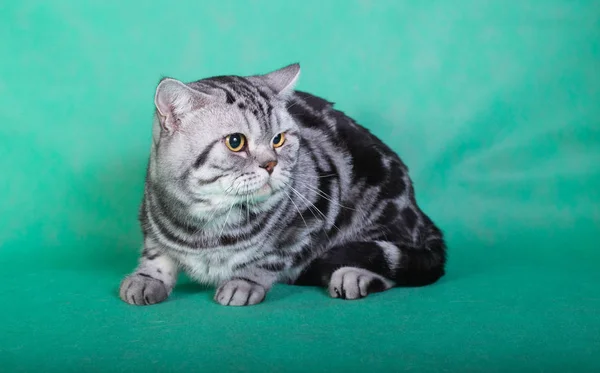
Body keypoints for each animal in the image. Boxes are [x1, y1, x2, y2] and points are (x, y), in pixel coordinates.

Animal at [118, 63, 446, 306]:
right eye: (235, 142)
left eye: (279, 139)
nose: (270, 164)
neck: (209, 223)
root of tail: (418, 211)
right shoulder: (150, 221)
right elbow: (157, 252)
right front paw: (147, 278)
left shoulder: (311, 218)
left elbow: (269, 259)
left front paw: (244, 282)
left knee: (392, 261)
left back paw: (353, 275)